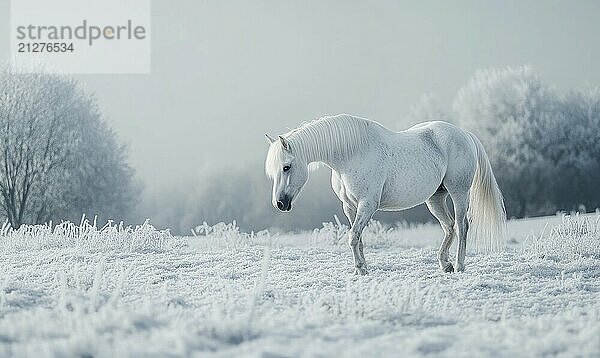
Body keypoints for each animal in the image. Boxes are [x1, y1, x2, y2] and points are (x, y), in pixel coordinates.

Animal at [264, 114, 504, 274]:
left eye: (286, 167)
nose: (280, 203)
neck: (351, 154)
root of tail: (464, 134)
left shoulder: (367, 205)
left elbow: (353, 236)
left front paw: (361, 269)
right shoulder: (349, 207)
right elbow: (357, 238)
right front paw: (361, 268)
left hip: (459, 192)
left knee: (462, 226)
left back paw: (460, 265)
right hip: (436, 198)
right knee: (449, 226)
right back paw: (445, 264)